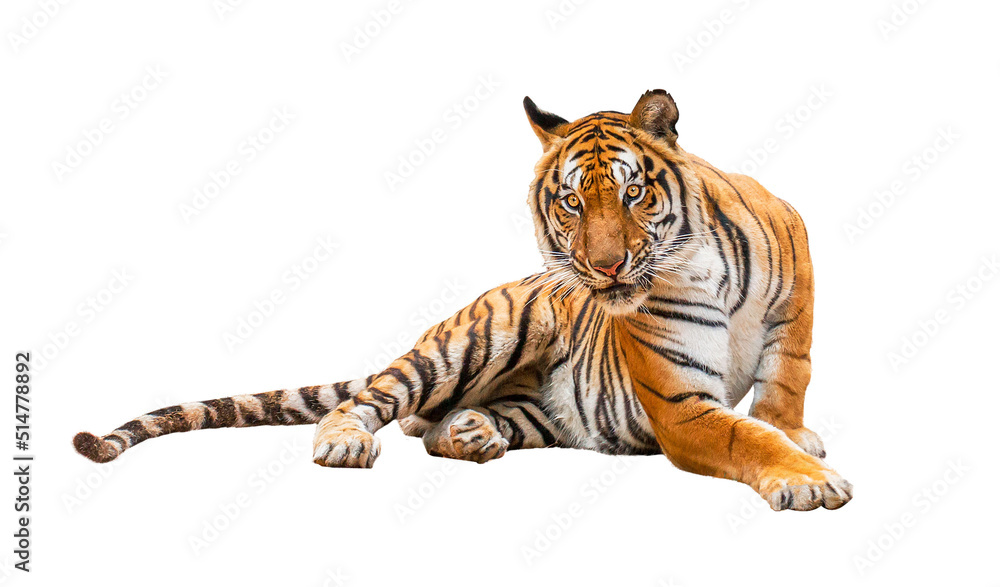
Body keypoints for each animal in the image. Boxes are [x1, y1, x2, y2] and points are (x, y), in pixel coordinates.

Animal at [74, 90, 852, 511]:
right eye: (572, 202)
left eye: (634, 192)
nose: (603, 268)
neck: (697, 263)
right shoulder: (681, 403)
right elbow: (745, 434)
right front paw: (808, 478)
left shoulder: (797, 294)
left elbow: (788, 378)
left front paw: (799, 434)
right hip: (473, 341)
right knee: (380, 402)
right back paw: (346, 441)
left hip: (538, 403)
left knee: (434, 426)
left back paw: (471, 433)